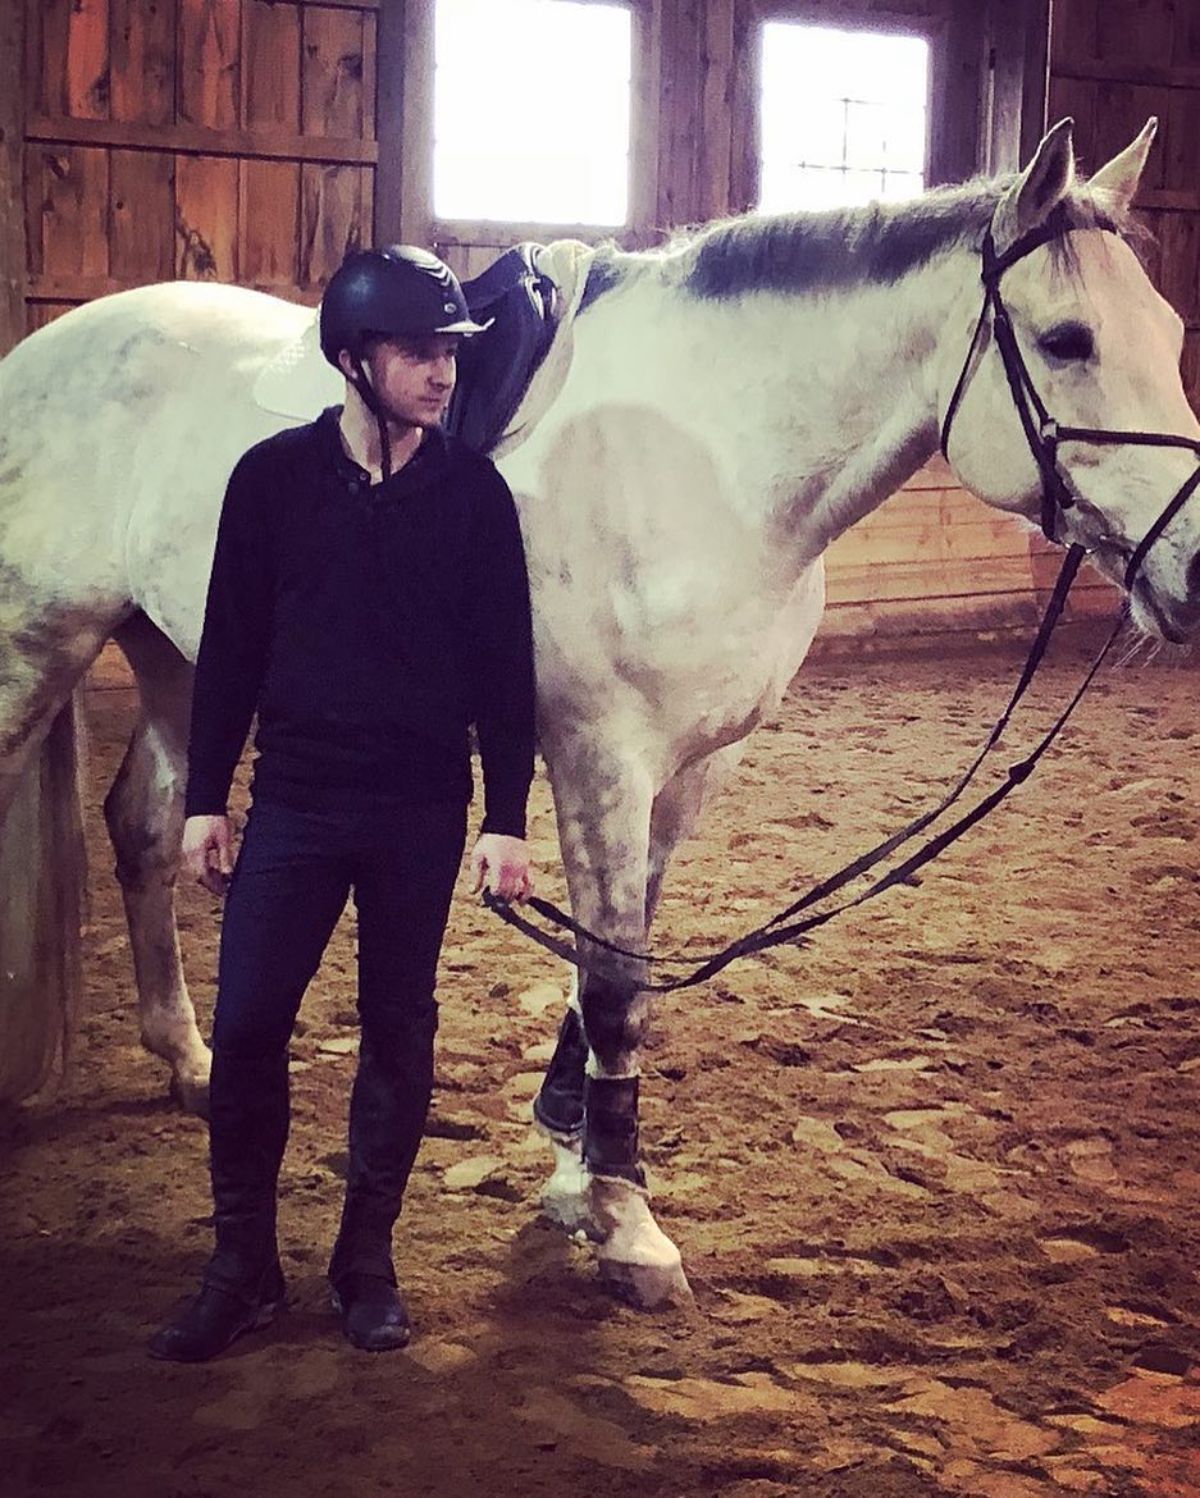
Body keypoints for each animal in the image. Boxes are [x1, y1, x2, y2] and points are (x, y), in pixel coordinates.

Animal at [2, 122, 1198, 1306]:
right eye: (1069, 339)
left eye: (1171, 331)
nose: (1190, 569)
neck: (708, 454)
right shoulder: (600, 756)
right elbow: (618, 984)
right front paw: (624, 1221)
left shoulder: (688, 771)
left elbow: (609, 964)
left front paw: (577, 1161)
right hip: (38, 646)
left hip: (182, 660)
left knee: (146, 831)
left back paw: (191, 1062)